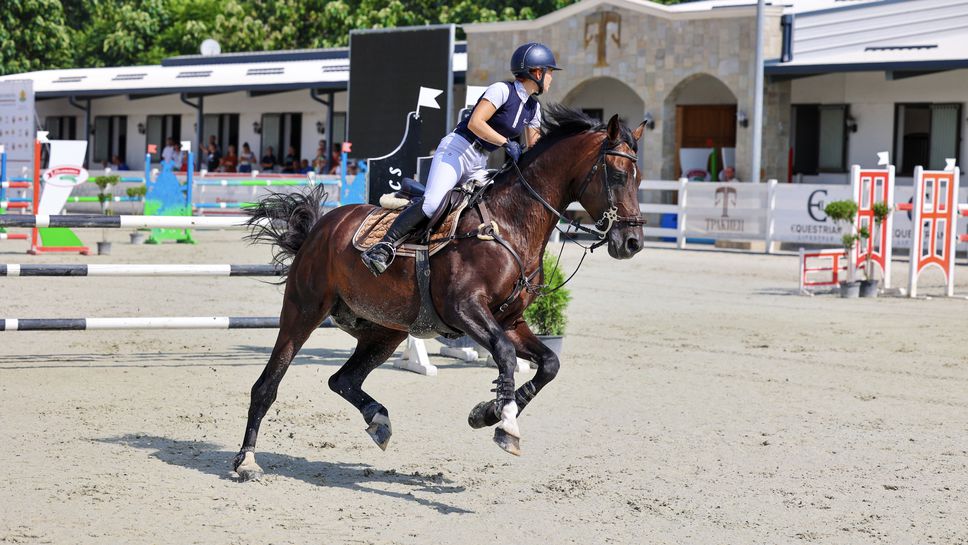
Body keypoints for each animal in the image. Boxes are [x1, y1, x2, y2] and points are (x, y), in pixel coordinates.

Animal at [231, 106, 648, 480]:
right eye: (616, 174)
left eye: (639, 178)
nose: (632, 243)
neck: (509, 224)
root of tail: (323, 224)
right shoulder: (464, 310)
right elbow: (505, 355)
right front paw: (504, 424)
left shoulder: (510, 320)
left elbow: (548, 363)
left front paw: (488, 413)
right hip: (303, 311)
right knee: (267, 385)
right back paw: (246, 461)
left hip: (385, 330)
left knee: (343, 380)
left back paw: (378, 420)